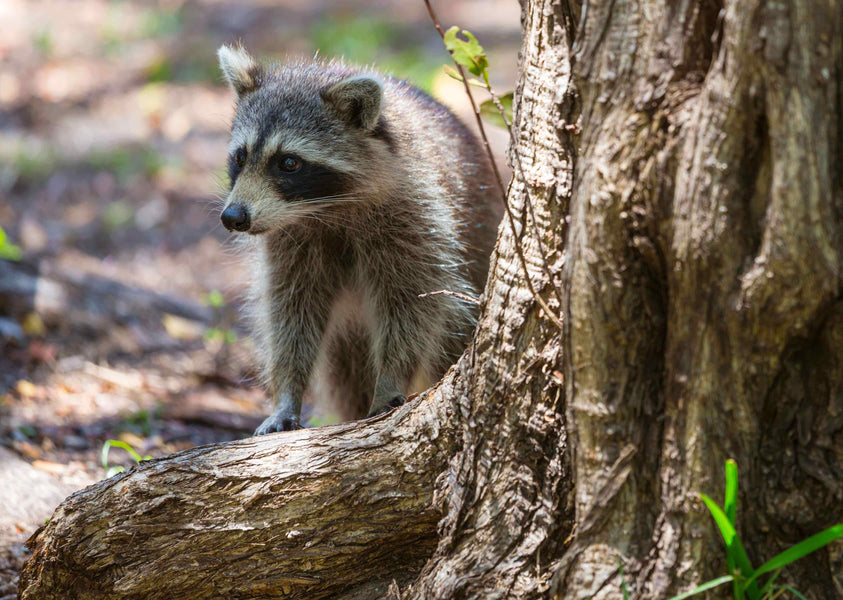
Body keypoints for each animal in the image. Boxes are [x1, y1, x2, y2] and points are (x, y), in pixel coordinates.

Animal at [218, 44, 502, 434]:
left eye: (289, 162)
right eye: (241, 156)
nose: (233, 217)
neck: (324, 209)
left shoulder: (416, 215)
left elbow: (414, 302)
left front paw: (391, 377)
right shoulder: (291, 240)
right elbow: (290, 309)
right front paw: (287, 392)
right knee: (345, 373)